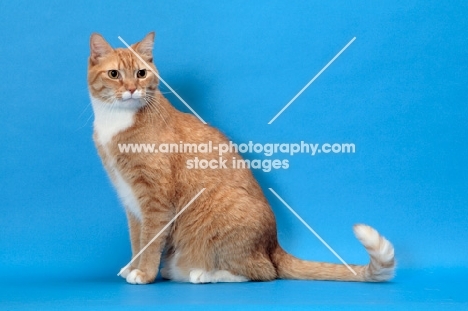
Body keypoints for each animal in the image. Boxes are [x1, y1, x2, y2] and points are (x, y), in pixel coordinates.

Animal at [88, 31, 394, 286]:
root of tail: (273, 245)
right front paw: (133, 266)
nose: (131, 89)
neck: (115, 122)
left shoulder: (156, 200)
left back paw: (205, 274)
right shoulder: (131, 200)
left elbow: (150, 243)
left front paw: (144, 273)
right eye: (114, 74)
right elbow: (137, 241)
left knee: (262, 272)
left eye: (141, 73)